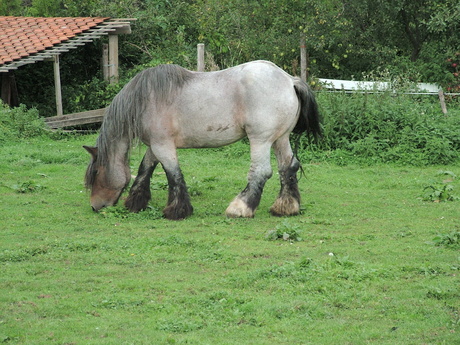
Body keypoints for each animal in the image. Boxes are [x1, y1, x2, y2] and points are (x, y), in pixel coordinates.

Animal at [83, 60, 320, 219]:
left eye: (96, 173)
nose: (95, 206)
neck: (145, 100)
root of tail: (289, 80)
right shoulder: (156, 145)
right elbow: (144, 169)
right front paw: (135, 202)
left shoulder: (162, 146)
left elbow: (173, 175)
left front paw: (177, 210)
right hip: (281, 139)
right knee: (288, 167)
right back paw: (286, 207)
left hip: (260, 140)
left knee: (261, 171)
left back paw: (240, 208)